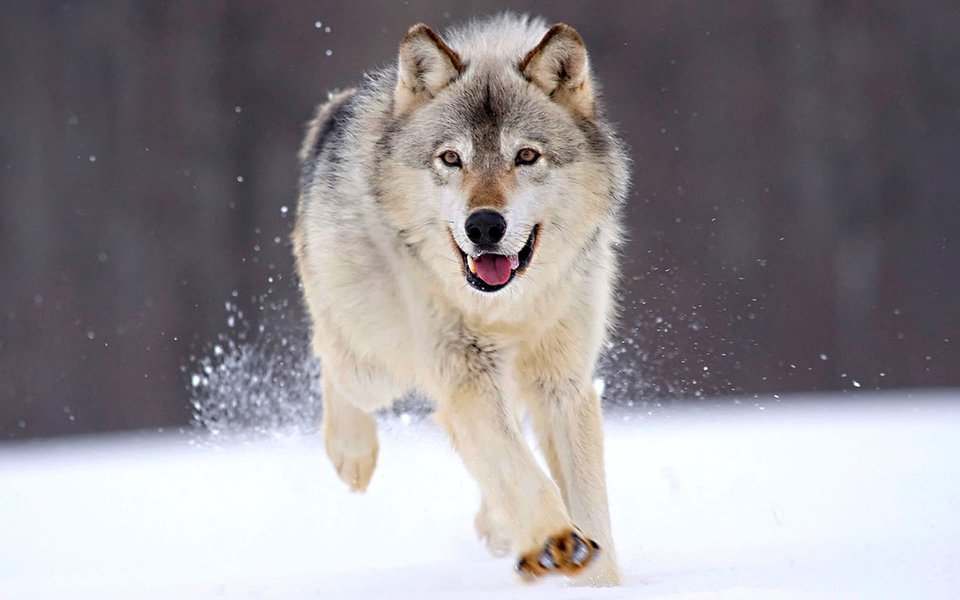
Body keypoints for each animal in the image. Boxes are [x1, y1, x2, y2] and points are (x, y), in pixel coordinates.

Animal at [292, 12, 632, 584]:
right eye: (451, 158)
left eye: (526, 156)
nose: (485, 226)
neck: (507, 308)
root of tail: (335, 111)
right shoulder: (465, 372)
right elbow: (519, 469)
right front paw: (554, 541)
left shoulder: (563, 384)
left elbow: (589, 505)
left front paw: (596, 579)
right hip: (376, 363)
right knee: (333, 360)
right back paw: (351, 454)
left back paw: (497, 527)